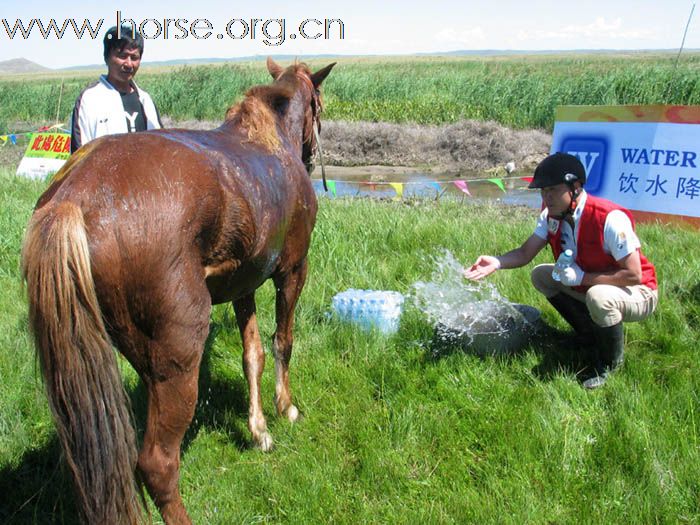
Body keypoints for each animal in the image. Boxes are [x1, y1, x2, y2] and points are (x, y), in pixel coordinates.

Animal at [21, 58, 336, 524]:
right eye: (319, 104)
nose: (312, 155)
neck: (268, 138)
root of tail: (71, 199)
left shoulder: (243, 284)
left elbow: (253, 354)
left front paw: (258, 429)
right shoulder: (293, 270)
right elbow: (283, 341)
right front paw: (285, 409)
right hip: (179, 356)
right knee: (156, 463)